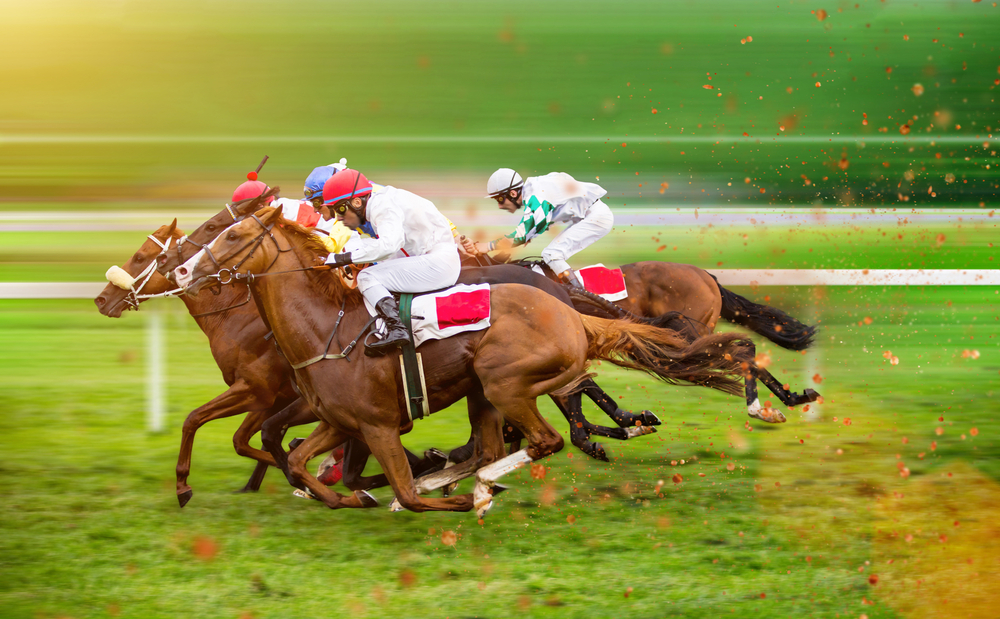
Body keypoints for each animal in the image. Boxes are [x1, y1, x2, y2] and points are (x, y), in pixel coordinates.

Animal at [176, 206, 752, 516]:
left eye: (232, 234)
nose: (183, 272)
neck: (326, 329)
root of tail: (570, 311)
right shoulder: (341, 421)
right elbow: (297, 459)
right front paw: (350, 496)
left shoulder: (378, 425)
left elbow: (403, 491)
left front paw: (420, 492)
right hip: (484, 391)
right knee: (496, 444)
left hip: (503, 384)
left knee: (542, 438)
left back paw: (478, 485)